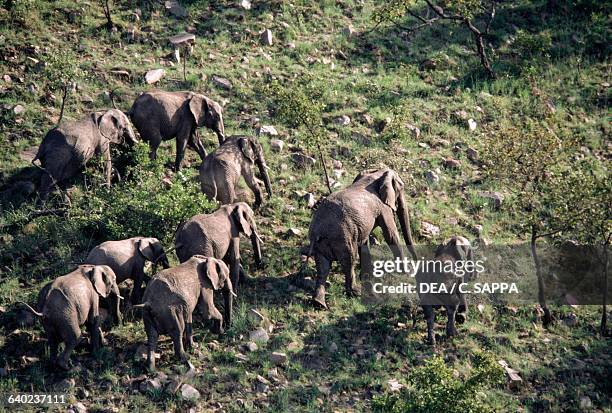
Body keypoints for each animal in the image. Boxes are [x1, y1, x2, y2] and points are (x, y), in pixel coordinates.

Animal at [308, 168, 418, 308]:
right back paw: (356, 293)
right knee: (349, 260)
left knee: (323, 267)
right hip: (342, 239)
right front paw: (406, 272)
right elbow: (391, 235)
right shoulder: (383, 207)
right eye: (402, 187)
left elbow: (365, 242)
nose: (417, 262)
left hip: (322, 244)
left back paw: (319, 303)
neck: (376, 174)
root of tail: (319, 231)